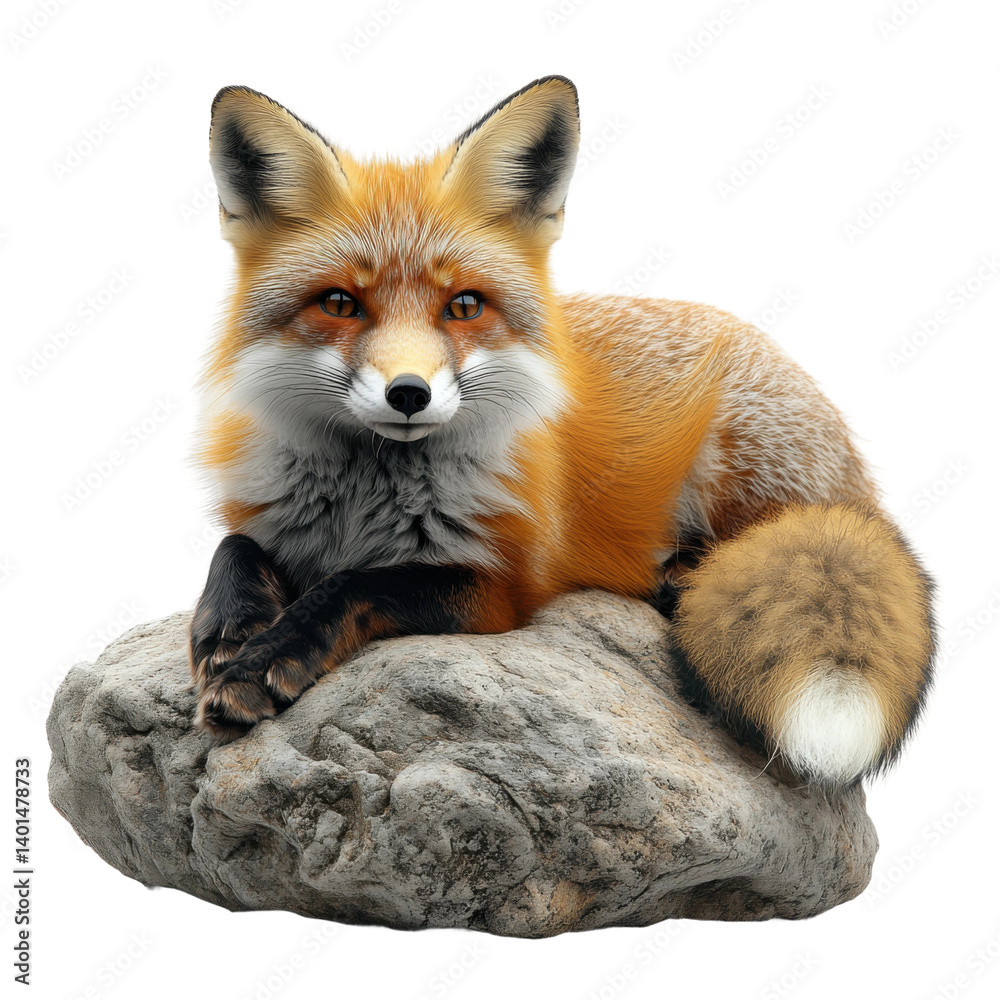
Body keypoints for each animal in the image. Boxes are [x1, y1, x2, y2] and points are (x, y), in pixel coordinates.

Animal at [189, 75, 935, 789]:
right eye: (340, 303)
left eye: (464, 306)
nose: (408, 394)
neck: (360, 504)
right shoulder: (276, 521)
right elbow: (234, 546)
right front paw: (231, 628)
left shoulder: (499, 585)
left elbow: (353, 587)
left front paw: (262, 661)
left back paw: (682, 572)